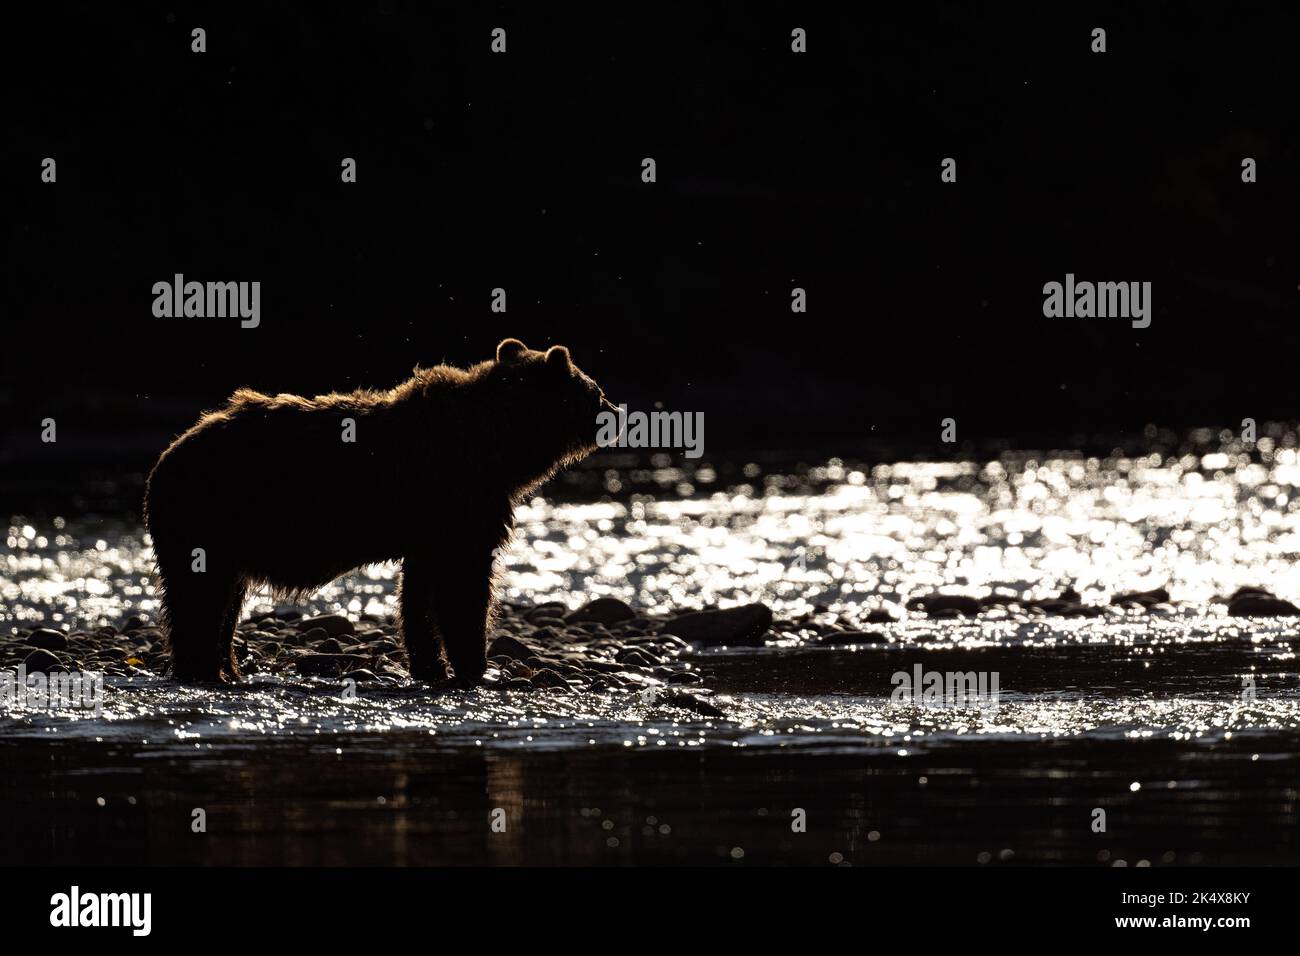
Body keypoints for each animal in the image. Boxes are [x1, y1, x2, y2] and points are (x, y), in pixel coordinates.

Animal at [144, 340, 611, 686]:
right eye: (596, 391)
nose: (617, 414)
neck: (500, 448)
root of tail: (166, 456)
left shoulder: (430, 531)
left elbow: (420, 594)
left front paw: (431, 665)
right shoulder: (464, 505)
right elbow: (464, 587)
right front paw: (477, 666)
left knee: (224, 600)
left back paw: (227, 667)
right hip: (207, 517)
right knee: (198, 597)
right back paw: (203, 669)